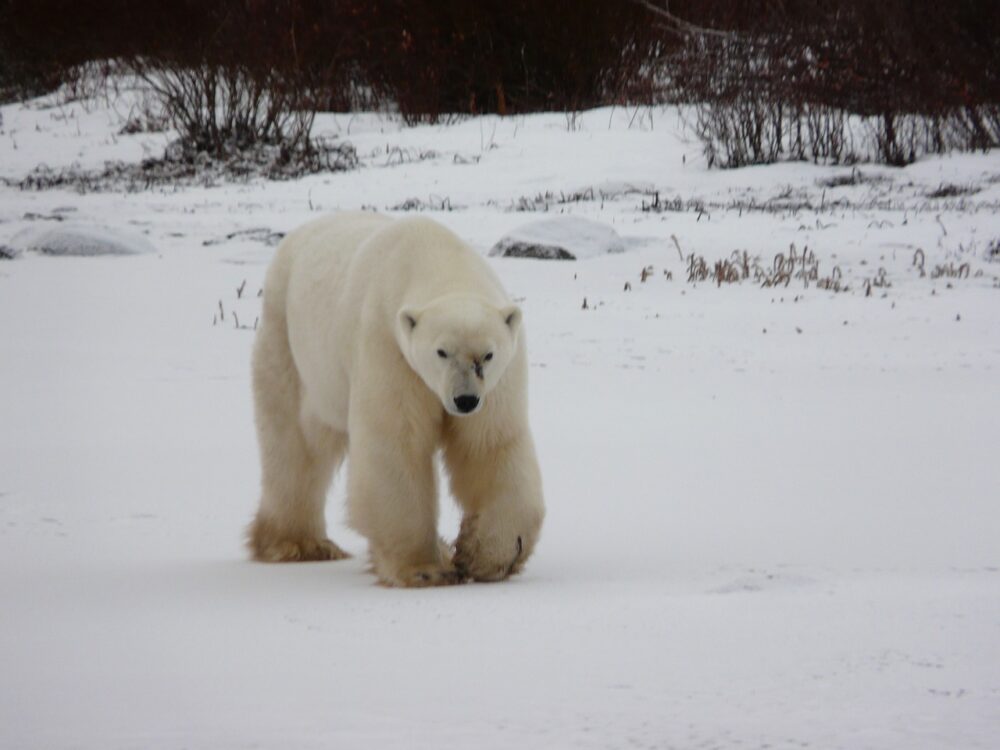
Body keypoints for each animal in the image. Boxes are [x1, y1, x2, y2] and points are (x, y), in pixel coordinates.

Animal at [250, 212, 548, 588]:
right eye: (441, 351)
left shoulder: (498, 383)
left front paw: (487, 555)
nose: (464, 400)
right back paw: (299, 544)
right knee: (294, 443)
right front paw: (426, 569)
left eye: (487, 355)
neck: (436, 257)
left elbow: (489, 444)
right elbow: (396, 444)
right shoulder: (388, 347)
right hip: (289, 343)